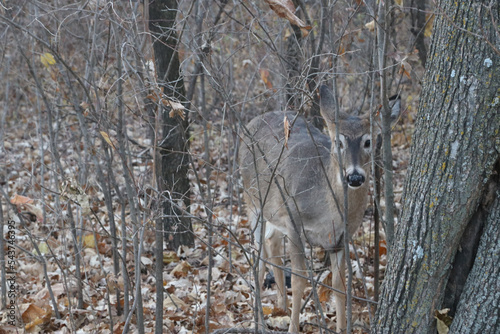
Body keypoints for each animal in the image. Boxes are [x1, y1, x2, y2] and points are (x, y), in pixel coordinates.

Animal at [239, 85, 402, 332]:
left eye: (368, 141)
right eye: (338, 142)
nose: (355, 177)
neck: (330, 213)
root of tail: (253, 121)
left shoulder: (341, 237)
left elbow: (340, 285)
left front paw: (342, 328)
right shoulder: (294, 222)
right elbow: (299, 280)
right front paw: (293, 328)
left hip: (273, 212)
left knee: (272, 245)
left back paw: (281, 308)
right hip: (252, 203)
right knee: (258, 260)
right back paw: (260, 321)